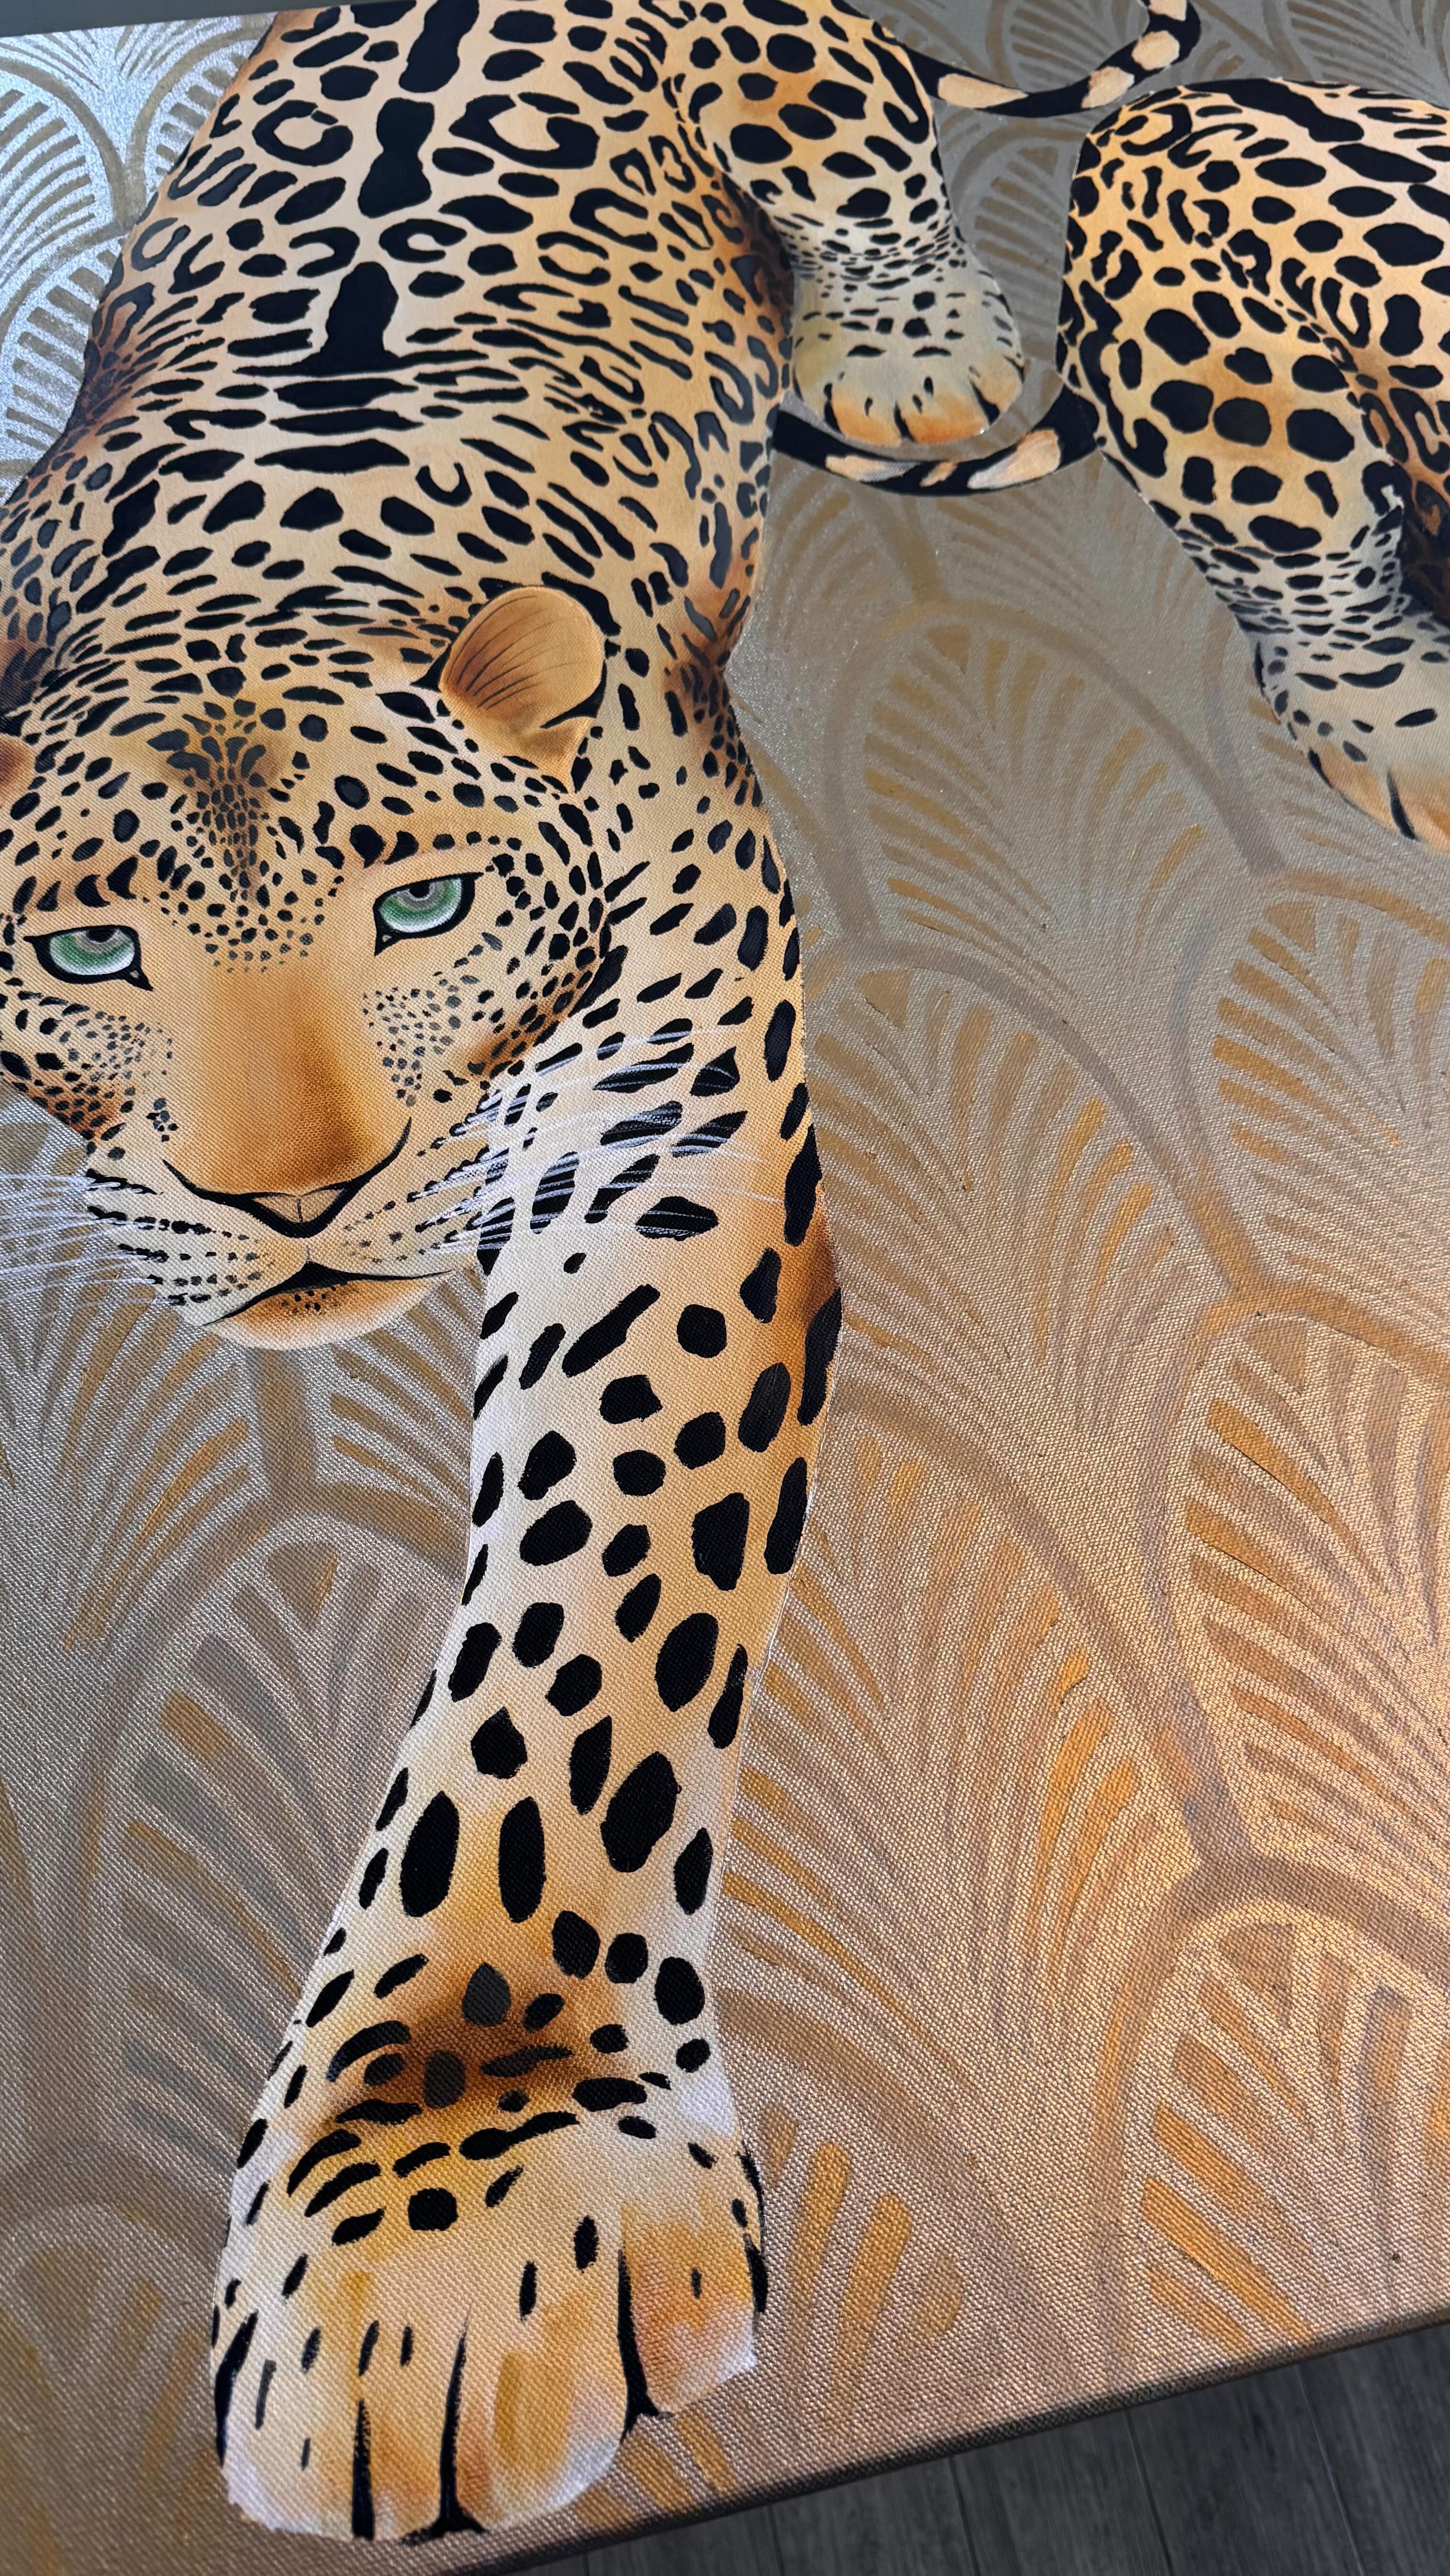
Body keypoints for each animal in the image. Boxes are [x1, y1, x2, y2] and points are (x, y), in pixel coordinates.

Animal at [0, 0, 1197, 2542]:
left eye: (429, 909)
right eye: (85, 954)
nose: (295, 1201)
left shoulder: (667, 1136)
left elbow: (576, 1641)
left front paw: (459, 2172)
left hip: (794, 84)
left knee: (888, 176)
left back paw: (913, 359)